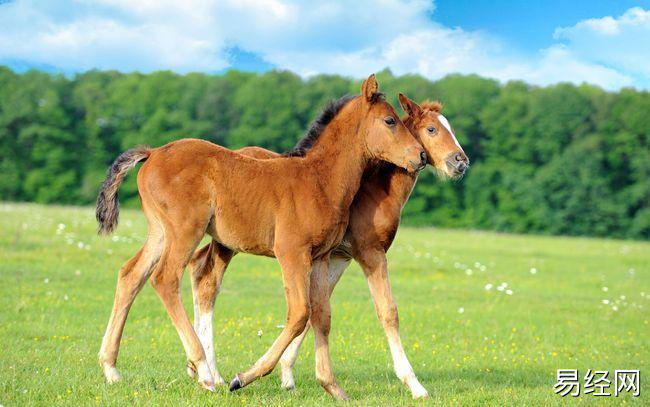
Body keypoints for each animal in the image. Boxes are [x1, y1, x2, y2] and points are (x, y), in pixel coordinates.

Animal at [93, 75, 422, 400]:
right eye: (390, 120)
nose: (419, 155)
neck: (320, 179)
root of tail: (153, 153)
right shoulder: (291, 252)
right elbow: (300, 313)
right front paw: (243, 378)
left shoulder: (320, 257)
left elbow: (322, 315)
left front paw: (333, 386)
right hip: (185, 230)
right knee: (164, 279)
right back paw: (205, 373)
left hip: (160, 232)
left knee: (131, 275)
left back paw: (111, 369)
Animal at [186, 94, 466, 400]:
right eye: (432, 129)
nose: (460, 161)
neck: (373, 191)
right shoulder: (369, 253)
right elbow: (387, 312)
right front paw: (415, 385)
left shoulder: (337, 257)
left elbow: (316, 312)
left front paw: (287, 375)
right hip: (228, 243)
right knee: (208, 282)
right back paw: (211, 373)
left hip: (224, 241)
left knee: (200, 271)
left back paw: (199, 368)